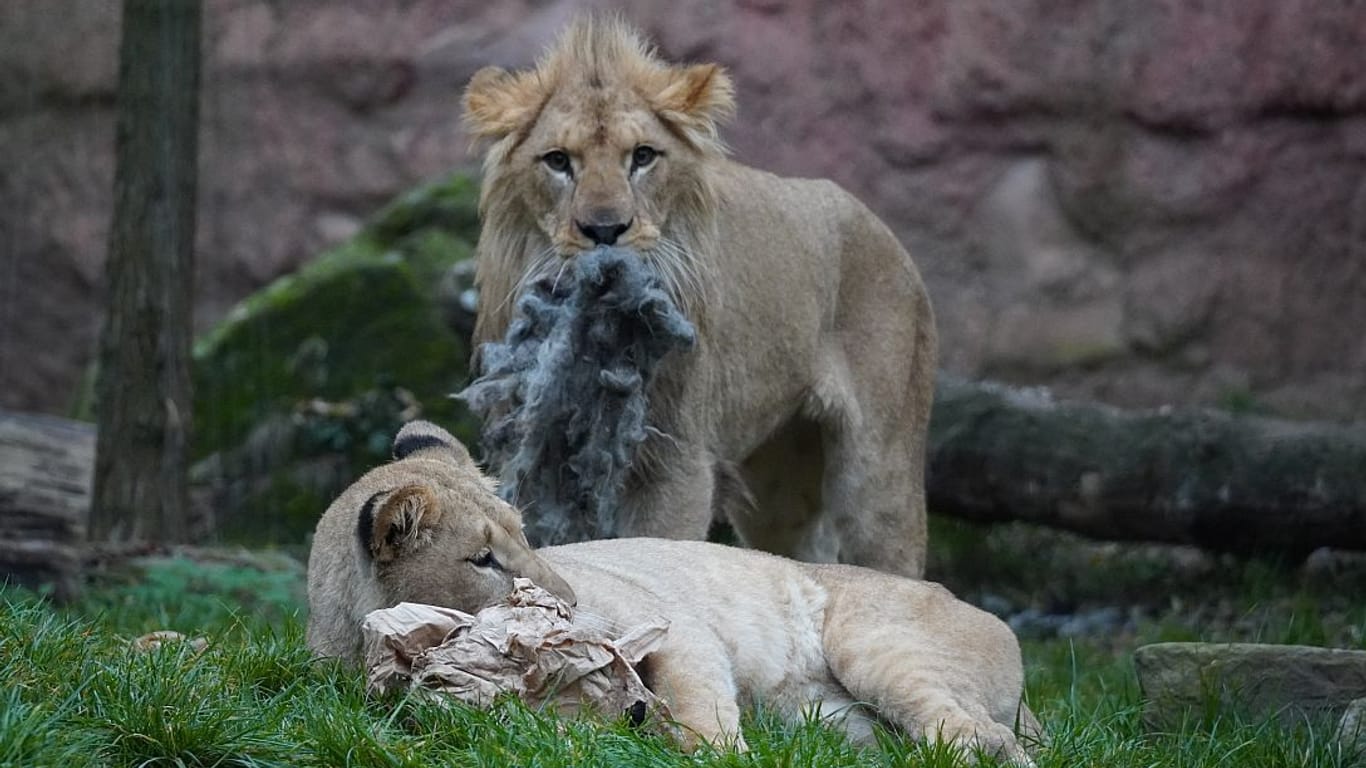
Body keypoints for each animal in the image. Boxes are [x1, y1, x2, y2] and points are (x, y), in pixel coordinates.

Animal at [310, 420, 1032, 759]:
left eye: (525, 533)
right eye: (483, 559)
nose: (571, 601)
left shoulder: (675, 625)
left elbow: (698, 701)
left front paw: (720, 755)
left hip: (876, 645)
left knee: (983, 735)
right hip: (821, 713)